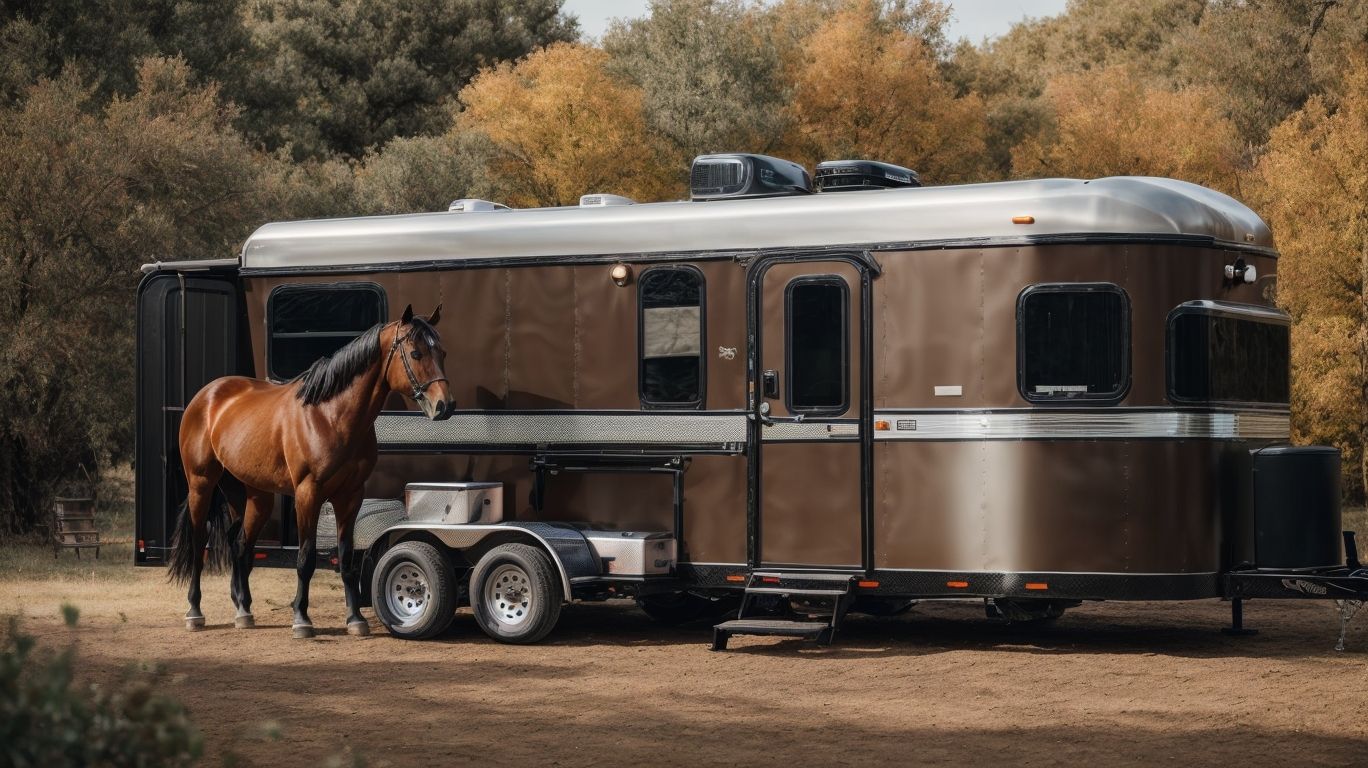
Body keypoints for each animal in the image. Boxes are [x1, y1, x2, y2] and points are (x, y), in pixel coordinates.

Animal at [167, 304, 452, 638]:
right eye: (416, 353)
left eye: (442, 352)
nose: (444, 406)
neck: (330, 416)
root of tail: (206, 397)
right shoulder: (308, 493)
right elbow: (305, 558)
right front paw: (302, 619)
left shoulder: (350, 496)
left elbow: (346, 558)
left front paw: (355, 619)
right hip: (201, 485)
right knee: (199, 543)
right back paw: (195, 612)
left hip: (252, 495)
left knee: (239, 544)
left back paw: (244, 611)